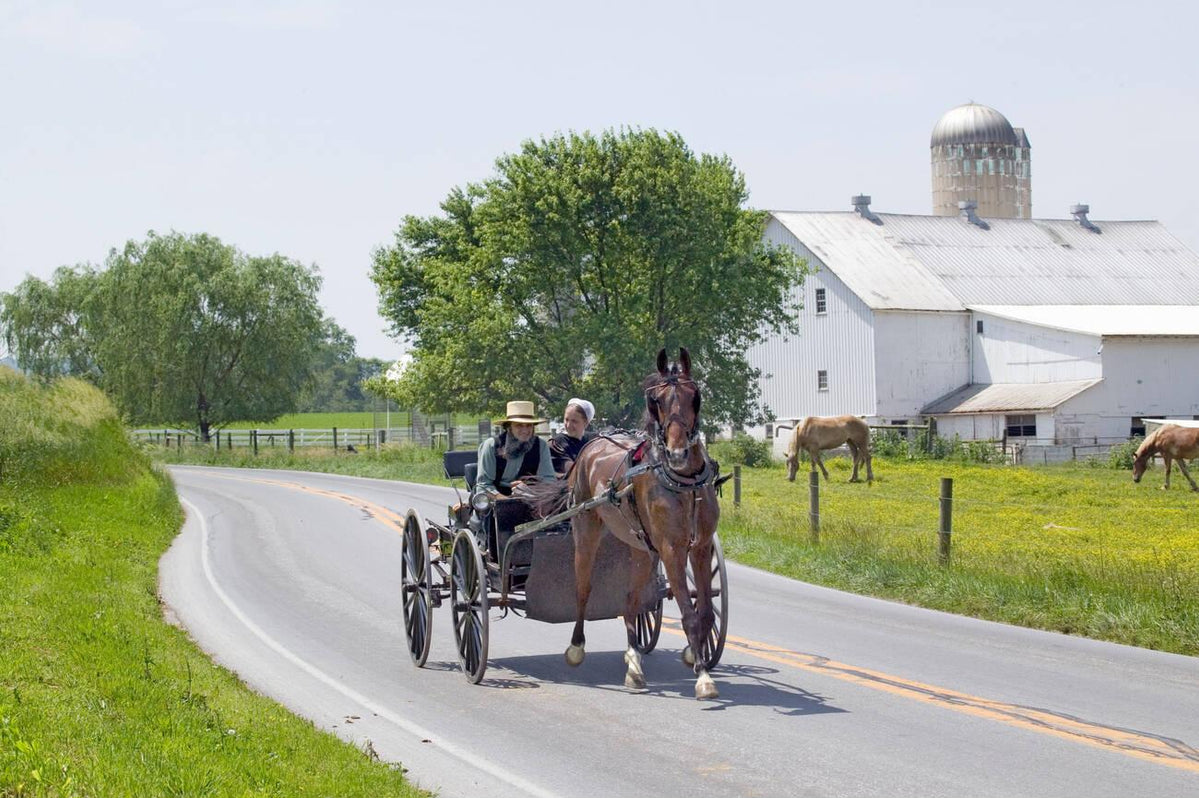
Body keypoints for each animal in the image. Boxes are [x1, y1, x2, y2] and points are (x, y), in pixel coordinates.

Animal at [551, 347, 719, 694]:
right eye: (657, 400)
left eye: (694, 395)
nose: (679, 453)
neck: (683, 482)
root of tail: (591, 445)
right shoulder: (671, 549)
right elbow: (688, 613)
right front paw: (703, 677)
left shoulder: (701, 547)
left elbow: (706, 612)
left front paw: (693, 655)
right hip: (586, 531)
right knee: (583, 588)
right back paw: (576, 647)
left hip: (640, 548)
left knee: (631, 601)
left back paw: (634, 663)